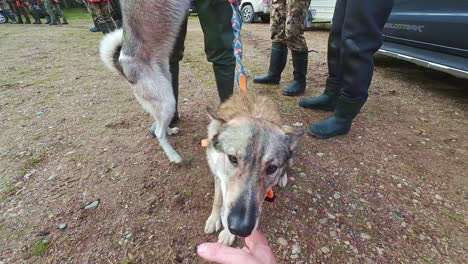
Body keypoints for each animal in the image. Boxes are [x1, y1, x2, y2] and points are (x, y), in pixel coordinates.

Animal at [100, 0, 192, 163]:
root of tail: (124, 69)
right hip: (167, 100)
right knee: (159, 133)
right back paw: (174, 156)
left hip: (164, 96)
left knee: (159, 125)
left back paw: (170, 130)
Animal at [205, 93, 304, 245]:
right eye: (232, 158)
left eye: (271, 168)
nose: (241, 228)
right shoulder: (218, 175)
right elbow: (218, 199)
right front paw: (214, 219)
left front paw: (228, 234)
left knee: (288, 164)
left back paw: (283, 178)